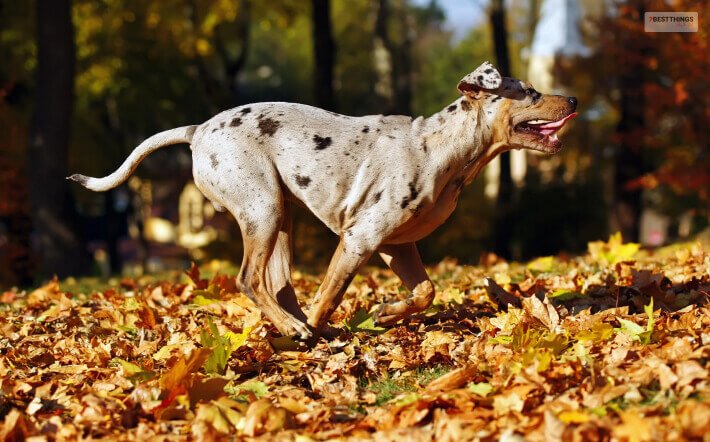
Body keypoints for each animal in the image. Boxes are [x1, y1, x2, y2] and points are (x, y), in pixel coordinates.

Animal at [69, 61, 580, 338]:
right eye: (530, 92)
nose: (574, 99)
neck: (440, 148)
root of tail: (198, 131)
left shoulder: (397, 246)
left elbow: (425, 291)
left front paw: (387, 313)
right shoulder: (360, 239)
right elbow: (330, 295)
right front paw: (318, 333)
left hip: (281, 218)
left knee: (277, 285)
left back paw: (286, 325)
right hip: (262, 209)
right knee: (249, 280)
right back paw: (293, 330)